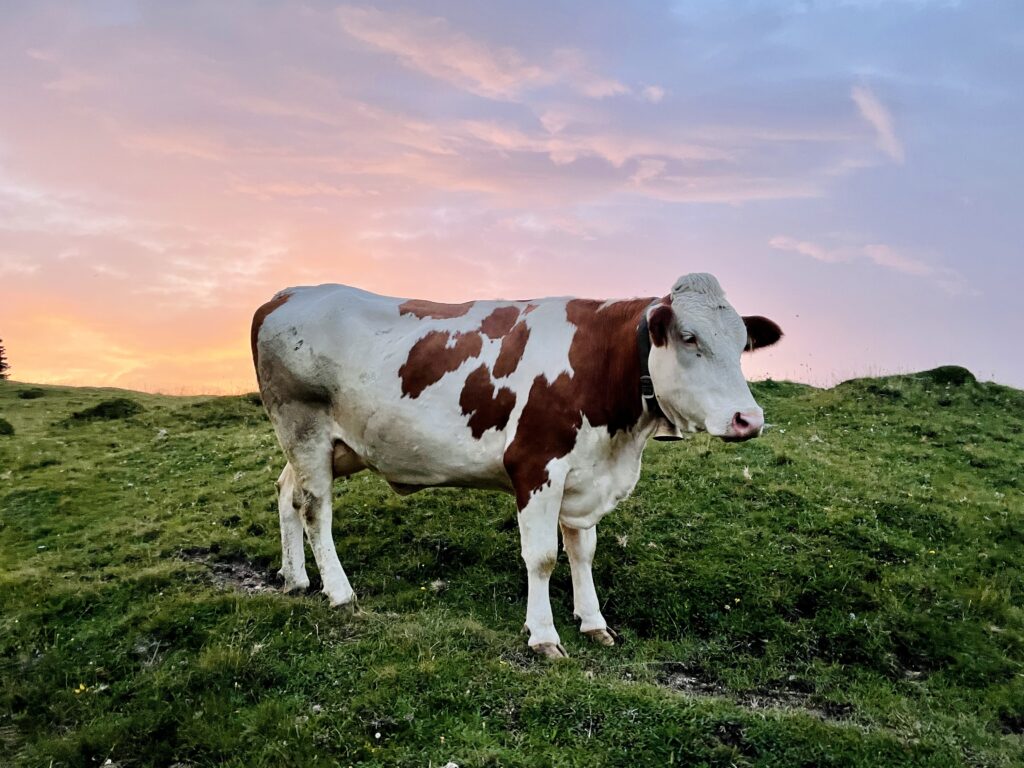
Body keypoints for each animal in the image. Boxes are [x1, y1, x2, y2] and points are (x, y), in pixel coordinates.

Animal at [251, 274, 778, 659]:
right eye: (690, 338)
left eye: (742, 343)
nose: (749, 419)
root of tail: (288, 293)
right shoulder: (536, 465)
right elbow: (542, 557)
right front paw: (544, 636)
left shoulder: (584, 475)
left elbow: (583, 552)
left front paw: (594, 623)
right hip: (304, 427)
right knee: (315, 509)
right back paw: (339, 592)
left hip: (332, 447)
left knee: (286, 493)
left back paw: (295, 578)